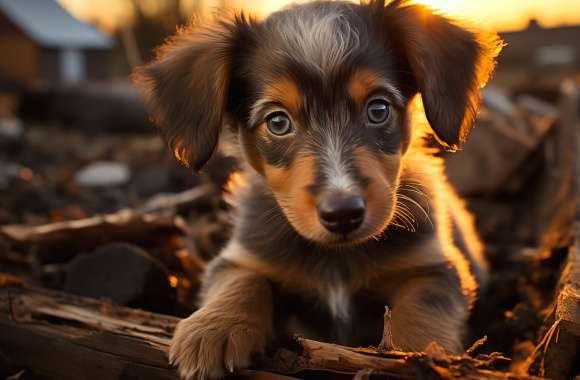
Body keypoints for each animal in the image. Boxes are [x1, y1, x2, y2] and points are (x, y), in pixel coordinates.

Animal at [134, 1, 500, 378]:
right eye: (278, 122)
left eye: (378, 109)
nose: (343, 214)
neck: (337, 257)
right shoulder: (243, 257)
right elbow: (241, 280)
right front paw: (213, 328)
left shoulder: (436, 265)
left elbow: (422, 303)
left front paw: (421, 354)